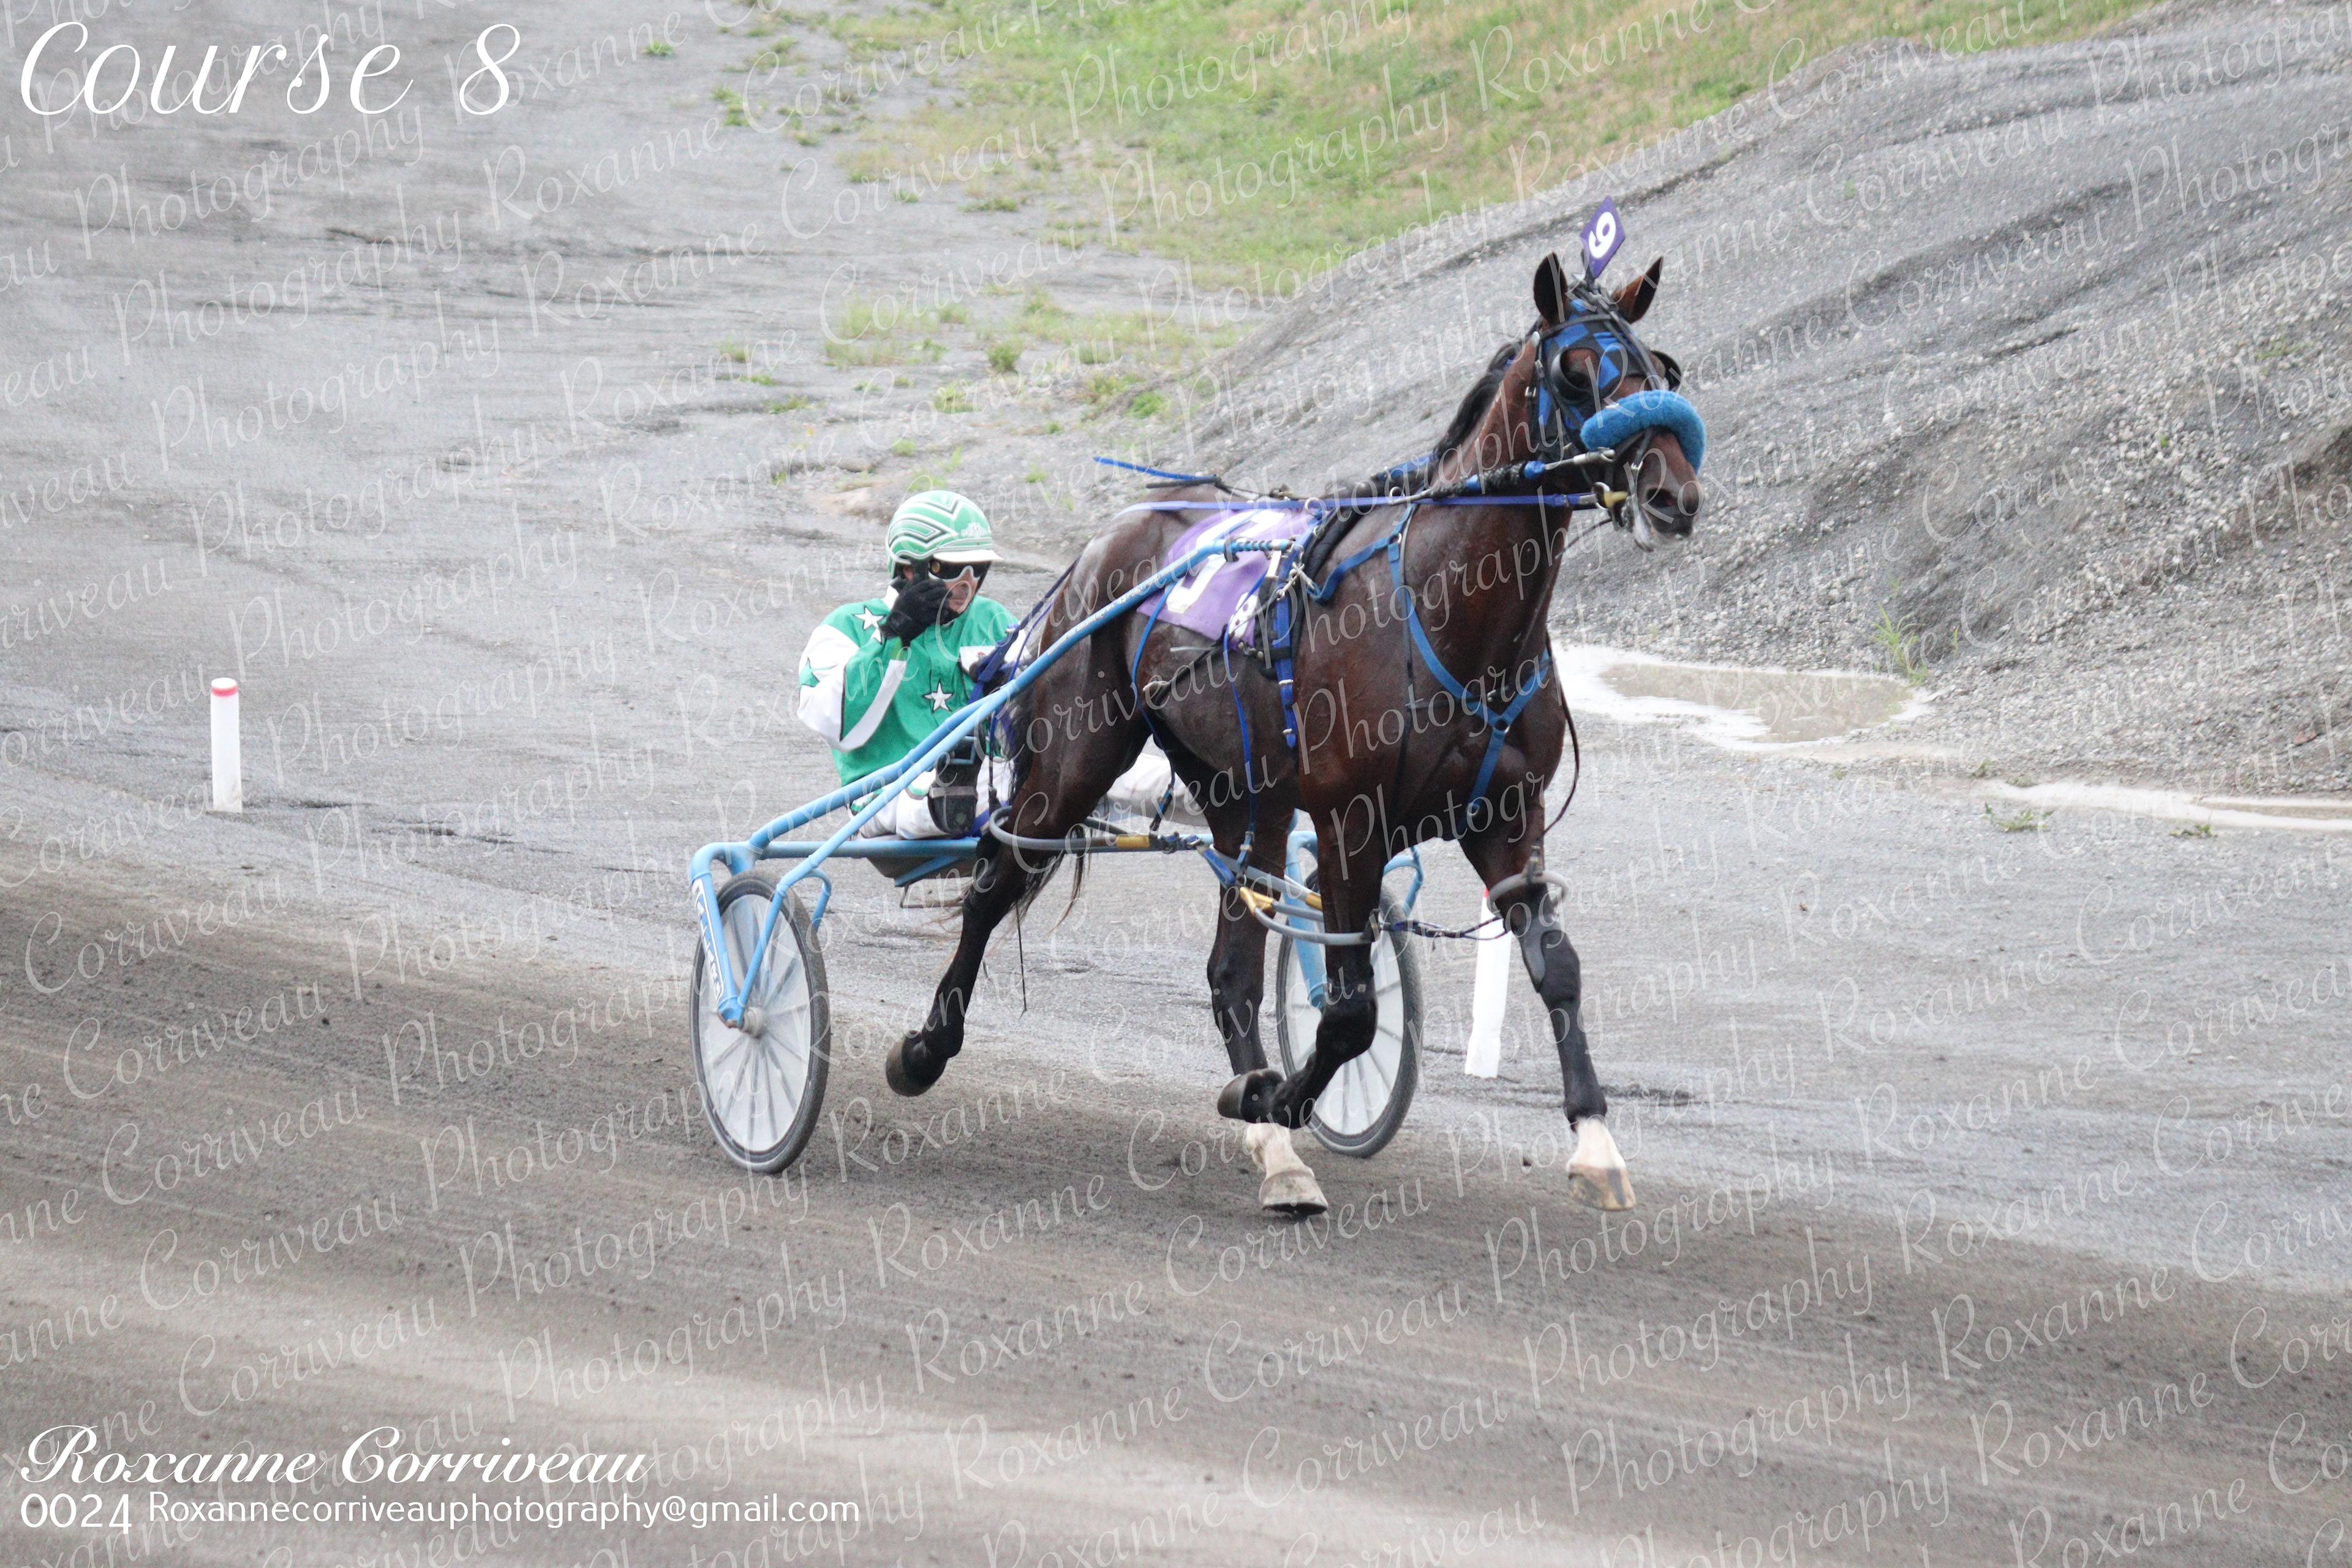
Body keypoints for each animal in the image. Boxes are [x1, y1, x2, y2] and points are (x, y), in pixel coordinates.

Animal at [887, 251, 1704, 1216]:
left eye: (1659, 368)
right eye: (1576, 374)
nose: (1672, 494)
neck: (1447, 610)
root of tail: (1108, 536)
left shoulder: (1508, 816)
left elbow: (1556, 966)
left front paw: (1595, 1141)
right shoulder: (1352, 820)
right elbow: (1350, 1011)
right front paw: (1278, 1093)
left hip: (1248, 796)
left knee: (1231, 969)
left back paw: (1278, 1154)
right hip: (1072, 758)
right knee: (992, 882)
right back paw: (925, 1049)